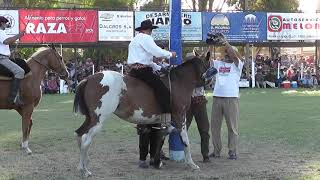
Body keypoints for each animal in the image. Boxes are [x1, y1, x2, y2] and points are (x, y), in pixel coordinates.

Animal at [72, 51, 212, 176]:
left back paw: (82, 166)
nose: (210, 82)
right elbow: (185, 140)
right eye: (209, 64)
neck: (178, 83)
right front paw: (191, 164)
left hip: (90, 119)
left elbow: (160, 137)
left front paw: (157, 161)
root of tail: (88, 79)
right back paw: (85, 170)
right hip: (99, 120)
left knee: (80, 134)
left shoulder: (162, 122)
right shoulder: (180, 117)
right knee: (86, 140)